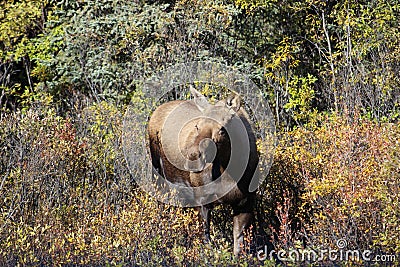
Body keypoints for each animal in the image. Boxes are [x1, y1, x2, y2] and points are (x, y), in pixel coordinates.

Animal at [148, 87, 260, 256]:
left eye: (222, 129)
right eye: (197, 126)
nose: (193, 156)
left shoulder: (245, 202)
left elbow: (238, 246)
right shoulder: (202, 200)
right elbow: (206, 240)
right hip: (158, 174)